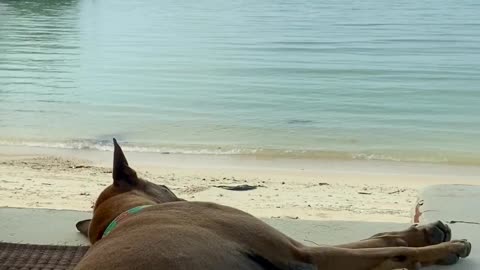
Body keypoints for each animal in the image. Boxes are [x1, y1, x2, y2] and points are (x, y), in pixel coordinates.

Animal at [73, 139, 470, 270]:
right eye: (169, 186)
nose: (177, 194)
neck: (129, 214)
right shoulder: (300, 255)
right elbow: (386, 250)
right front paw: (443, 248)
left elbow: (378, 239)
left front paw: (429, 231)